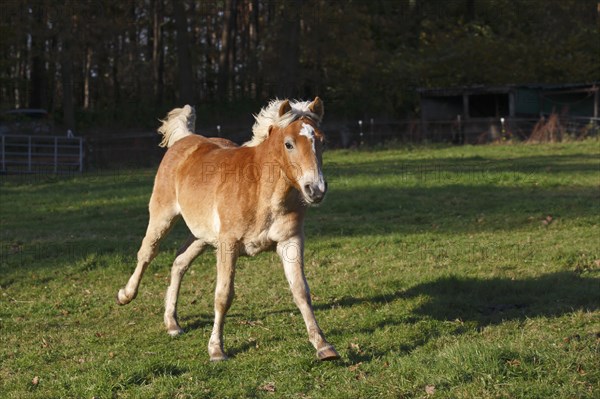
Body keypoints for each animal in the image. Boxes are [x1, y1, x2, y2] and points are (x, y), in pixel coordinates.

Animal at [115, 97, 340, 362]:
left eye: (323, 141)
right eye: (289, 144)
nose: (315, 190)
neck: (261, 190)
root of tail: (184, 140)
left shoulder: (290, 241)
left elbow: (301, 291)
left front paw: (323, 346)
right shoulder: (228, 245)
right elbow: (223, 296)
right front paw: (216, 350)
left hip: (201, 236)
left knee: (179, 262)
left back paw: (172, 323)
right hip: (163, 217)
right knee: (147, 253)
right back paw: (126, 295)